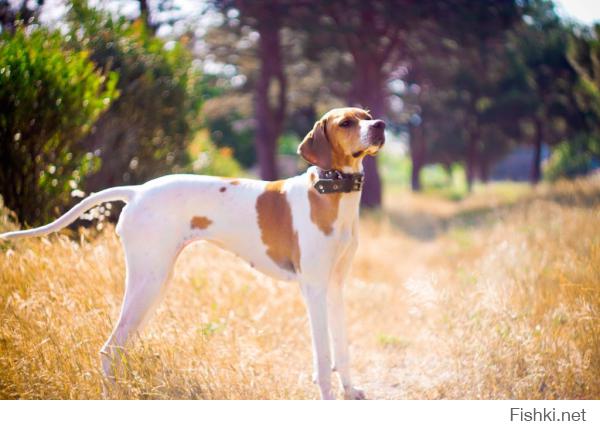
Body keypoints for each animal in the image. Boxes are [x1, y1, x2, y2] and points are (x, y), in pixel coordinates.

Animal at [0, 106, 384, 400]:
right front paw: (329, 397)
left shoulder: (335, 288)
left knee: (121, 345)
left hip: (154, 284)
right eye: (346, 123)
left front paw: (350, 391)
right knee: (110, 348)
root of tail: (137, 190)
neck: (332, 192)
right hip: (149, 282)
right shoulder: (314, 289)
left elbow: (342, 348)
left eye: (366, 116)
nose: (380, 125)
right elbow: (323, 355)